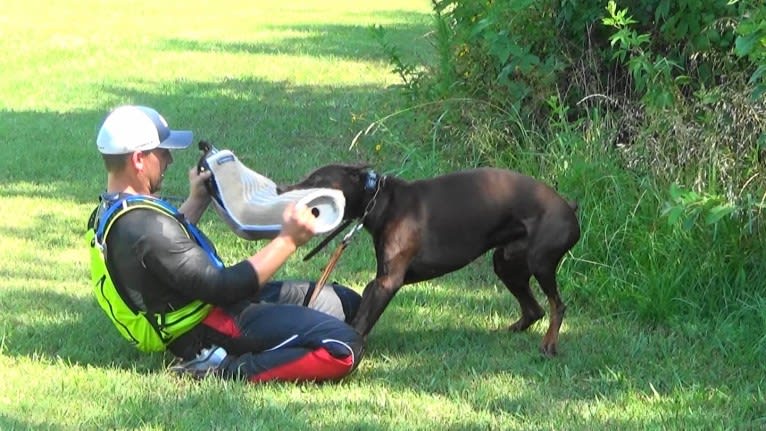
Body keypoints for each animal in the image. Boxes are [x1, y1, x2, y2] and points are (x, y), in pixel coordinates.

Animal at [282, 164, 584, 356]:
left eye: (316, 181)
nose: (283, 189)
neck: (380, 202)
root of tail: (569, 206)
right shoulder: (378, 281)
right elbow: (360, 315)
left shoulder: (387, 282)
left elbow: (360, 323)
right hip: (506, 262)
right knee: (535, 309)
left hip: (540, 262)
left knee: (557, 306)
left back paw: (549, 344)